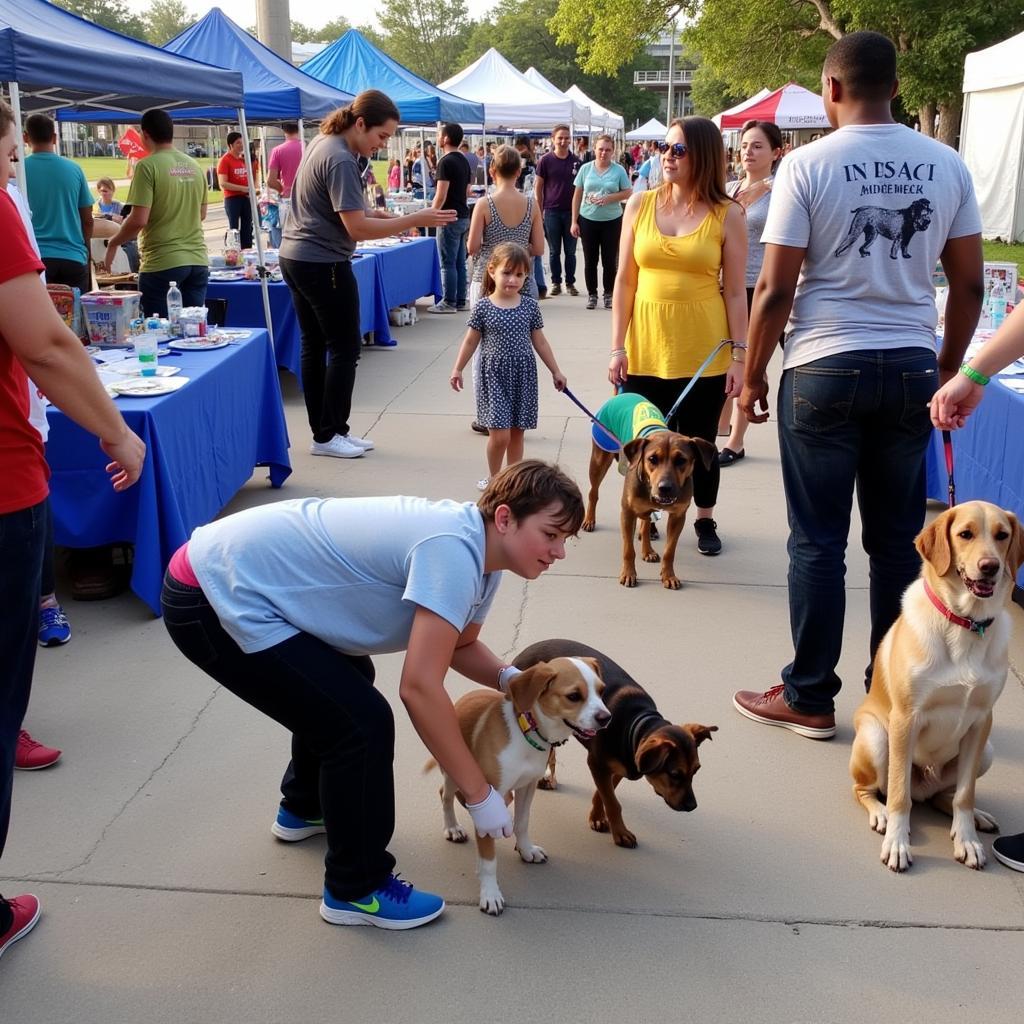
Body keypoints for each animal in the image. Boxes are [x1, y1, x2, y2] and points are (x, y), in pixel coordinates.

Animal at [430, 659, 606, 917]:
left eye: (602, 691)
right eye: (574, 696)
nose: (606, 717)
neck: (526, 736)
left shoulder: (527, 786)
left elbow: (522, 823)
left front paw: (526, 850)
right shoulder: (487, 798)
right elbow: (489, 860)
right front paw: (490, 893)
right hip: (454, 770)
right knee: (445, 795)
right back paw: (452, 828)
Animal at [516, 638, 716, 847]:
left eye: (696, 770)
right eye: (675, 774)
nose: (692, 806)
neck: (635, 725)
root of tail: (529, 648)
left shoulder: (621, 767)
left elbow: (603, 794)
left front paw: (597, 817)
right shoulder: (596, 763)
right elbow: (613, 802)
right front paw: (620, 832)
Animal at [581, 391, 716, 589]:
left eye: (681, 460)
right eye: (652, 459)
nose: (665, 488)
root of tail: (623, 394)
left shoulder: (678, 516)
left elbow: (669, 551)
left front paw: (668, 575)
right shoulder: (627, 512)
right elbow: (628, 549)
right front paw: (629, 574)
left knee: (645, 522)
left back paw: (648, 550)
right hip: (599, 457)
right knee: (593, 492)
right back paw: (589, 520)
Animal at [847, 503, 1024, 872]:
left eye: (1002, 535)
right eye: (965, 534)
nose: (990, 567)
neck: (965, 624)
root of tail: (924, 787)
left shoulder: (981, 721)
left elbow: (965, 794)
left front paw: (967, 839)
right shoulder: (905, 719)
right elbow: (898, 795)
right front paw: (897, 844)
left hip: (986, 750)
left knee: (944, 796)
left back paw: (974, 818)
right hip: (877, 737)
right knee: (870, 789)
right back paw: (881, 815)